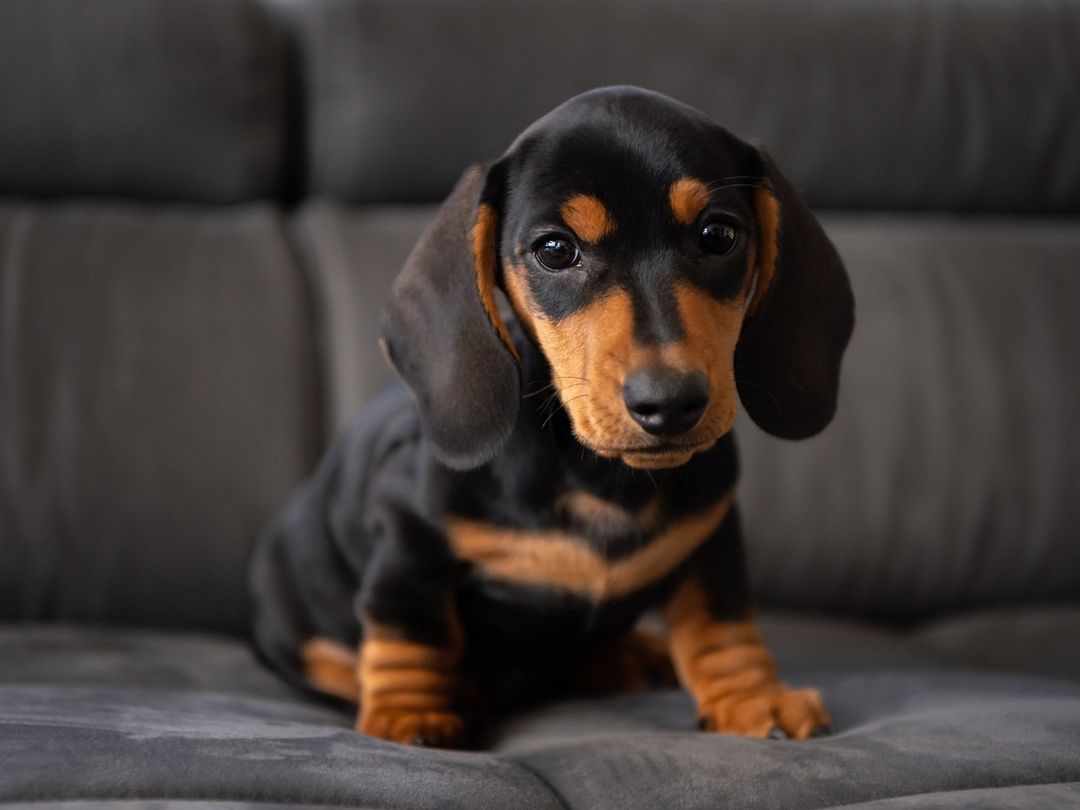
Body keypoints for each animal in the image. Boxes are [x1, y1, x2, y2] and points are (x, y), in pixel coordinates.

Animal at [250, 87, 851, 747]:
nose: (669, 401)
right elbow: (411, 627)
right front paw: (412, 711)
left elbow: (721, 618)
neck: (602, 477)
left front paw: (752, 696)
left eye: (719, 235)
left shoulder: (711, 532)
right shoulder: (408, 534)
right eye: (556, 250)